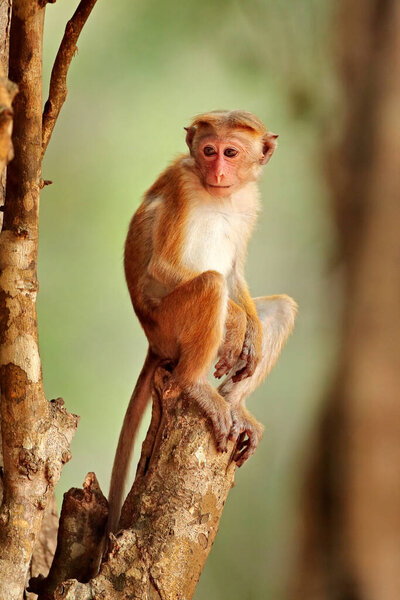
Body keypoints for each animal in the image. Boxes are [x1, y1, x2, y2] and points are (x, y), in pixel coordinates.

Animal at [108, 110, 298, 532]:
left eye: (231, 152)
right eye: (209, 151)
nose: (218, 171)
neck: (221, 195)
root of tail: (153, 341)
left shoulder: (249, 201)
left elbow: (235, 273)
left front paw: (250, 331)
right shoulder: (181, 185)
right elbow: (165, 268)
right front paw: (235, 325)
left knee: (280, 307)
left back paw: (235, 403)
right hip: (169, 324)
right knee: (210, 285)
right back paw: (197, 386)